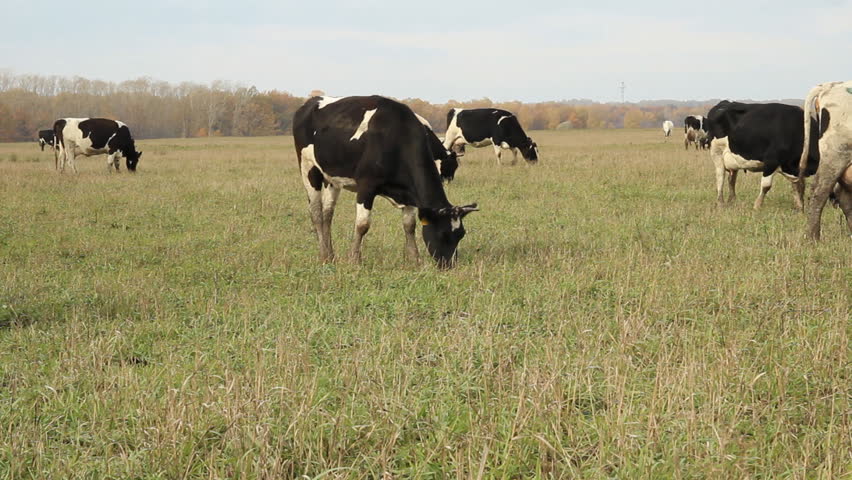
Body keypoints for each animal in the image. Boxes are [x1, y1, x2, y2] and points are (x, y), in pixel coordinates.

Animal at [293, 95, 479, 268]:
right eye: (442, 234)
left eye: (460, 234)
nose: (449, 265)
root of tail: (312, 101)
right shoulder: (366, 187)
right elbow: (362, 225)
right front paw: (354, 260)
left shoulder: (409, 192)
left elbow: (409, 225)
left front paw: (415, 259)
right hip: (308, 168)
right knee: (316, 213)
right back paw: (324, 255)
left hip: (332, 178)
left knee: (328, 213)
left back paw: (331, 255)